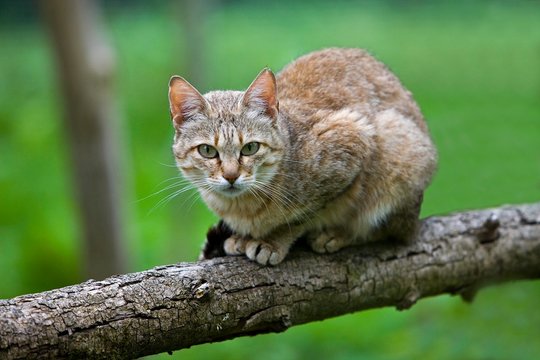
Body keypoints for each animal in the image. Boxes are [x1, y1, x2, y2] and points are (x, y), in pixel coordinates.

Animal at [169, 47, 438, 266]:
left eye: (250, 148)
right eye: (207, 151)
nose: (231, 175)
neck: (242, 208)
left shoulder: (353, 137)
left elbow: (305, 214)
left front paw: (273, 240)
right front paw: (243, 237)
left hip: (401, 149)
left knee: (391, 230)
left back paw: (340, 234)